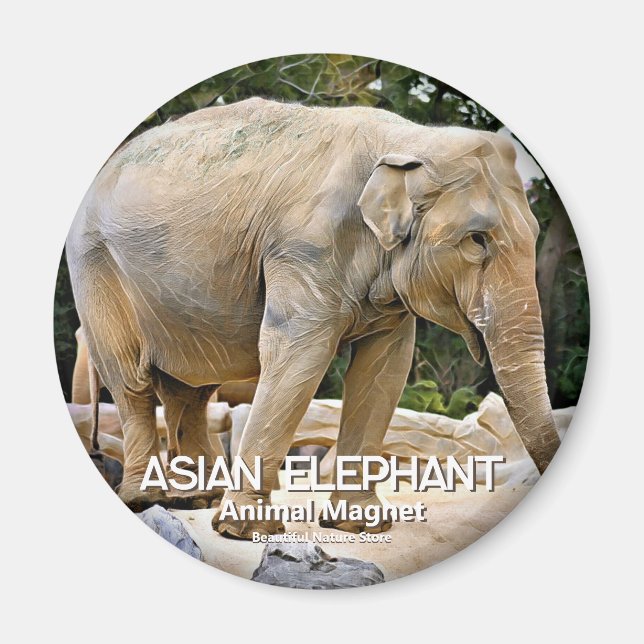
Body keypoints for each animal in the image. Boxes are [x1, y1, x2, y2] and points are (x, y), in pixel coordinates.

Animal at [66, 97, 560, 538]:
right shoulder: (303, 248)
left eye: (536, 232)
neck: (409, 141)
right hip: (96, 268)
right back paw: (149, 499)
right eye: (477, 240)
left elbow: (385, 370)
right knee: (133, 382)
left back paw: (199, 499)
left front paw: (359, 525)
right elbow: (298, 353)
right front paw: (242, 531)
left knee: (190, 392)